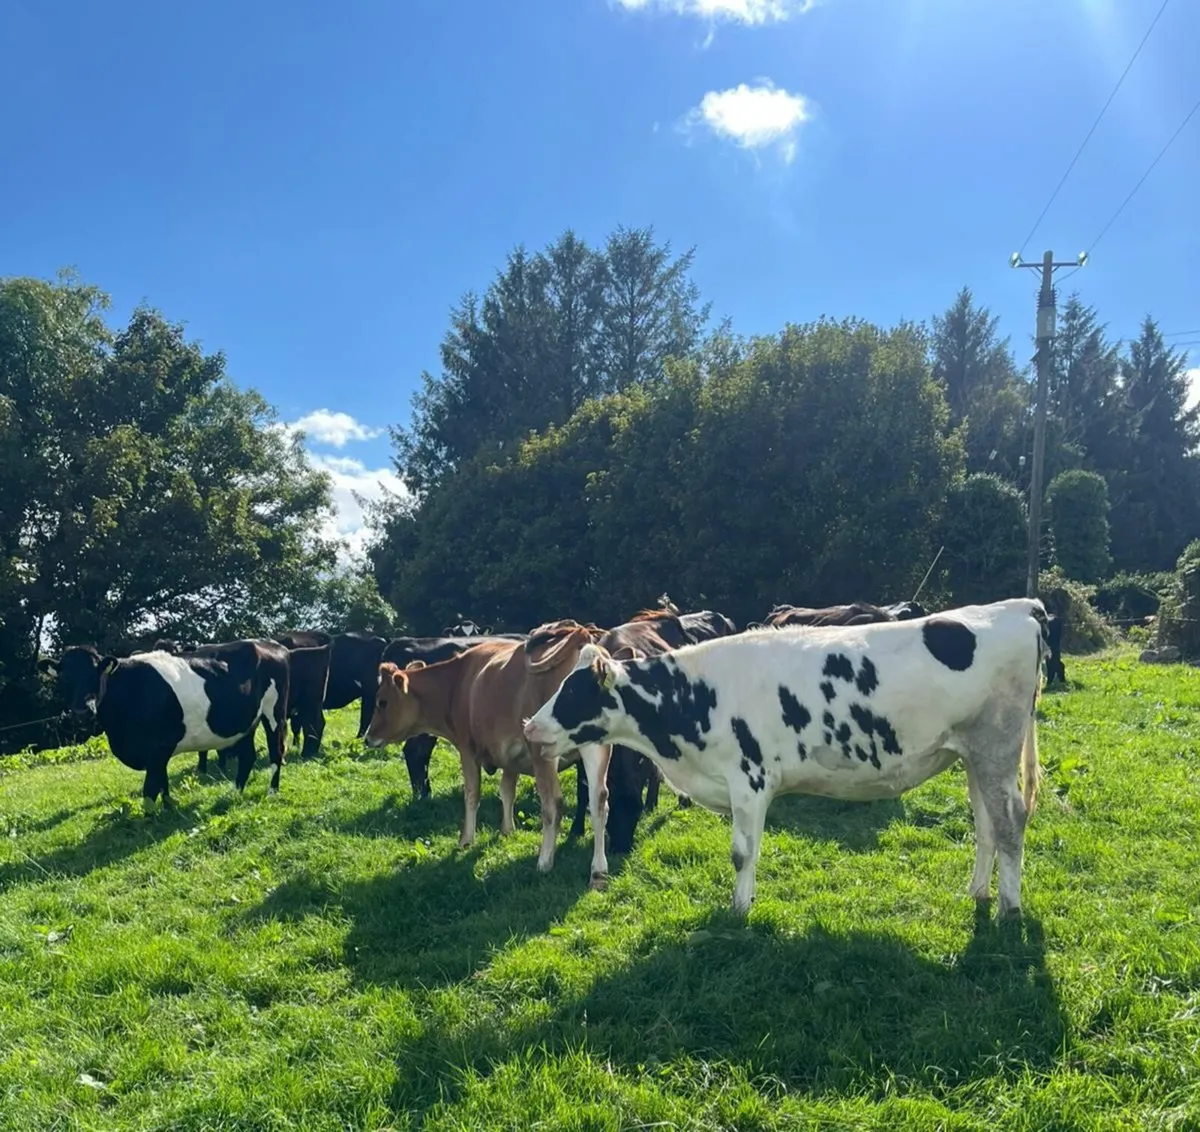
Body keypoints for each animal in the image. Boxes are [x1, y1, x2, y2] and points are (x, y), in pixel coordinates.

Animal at [38, 639, 291, 805]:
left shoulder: (159, 746)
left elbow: (151, 788)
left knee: (276, 751)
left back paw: (271, 792)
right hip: (246, 722)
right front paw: (169, 807)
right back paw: (234, 792)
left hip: (274, 713)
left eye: (95, 674)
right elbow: (162, 780)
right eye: (64, 678)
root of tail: (271, 644)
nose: (82, 711)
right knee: (247, 756)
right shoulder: (156, 752)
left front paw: (149, 819)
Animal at [524, 598, 1048, 920]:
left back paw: (1009, 906)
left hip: (996, 748)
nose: (530, 726)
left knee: (1010, 821)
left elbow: (741, 852)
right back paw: (977, 891)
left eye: (574, 693)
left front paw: (738, 909)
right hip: (973, 756)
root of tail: (1017, 607)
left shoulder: (749, 778)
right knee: (986, 823)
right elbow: (749, 850)